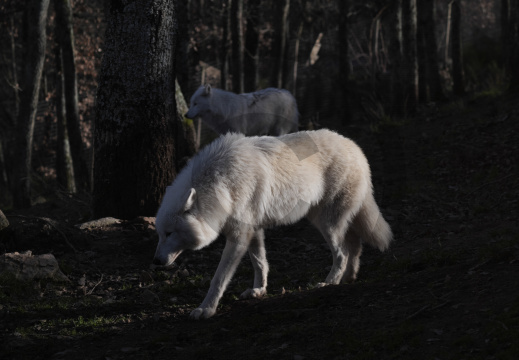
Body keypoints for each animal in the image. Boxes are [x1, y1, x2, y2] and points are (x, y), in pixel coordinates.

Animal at [152, 130, 392, 320]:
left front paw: (206, 309)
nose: (156, 261)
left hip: (327, 224)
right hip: (330, 220)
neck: (221, 184)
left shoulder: (239, 237)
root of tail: (356, 148)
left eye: (170, 233)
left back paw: (330, 282)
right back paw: (349, 278)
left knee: (342, 253)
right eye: (159, 235)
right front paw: (259, 290)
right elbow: (260, 262)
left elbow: (218, 279)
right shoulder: (254, 230)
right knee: (354, 246)